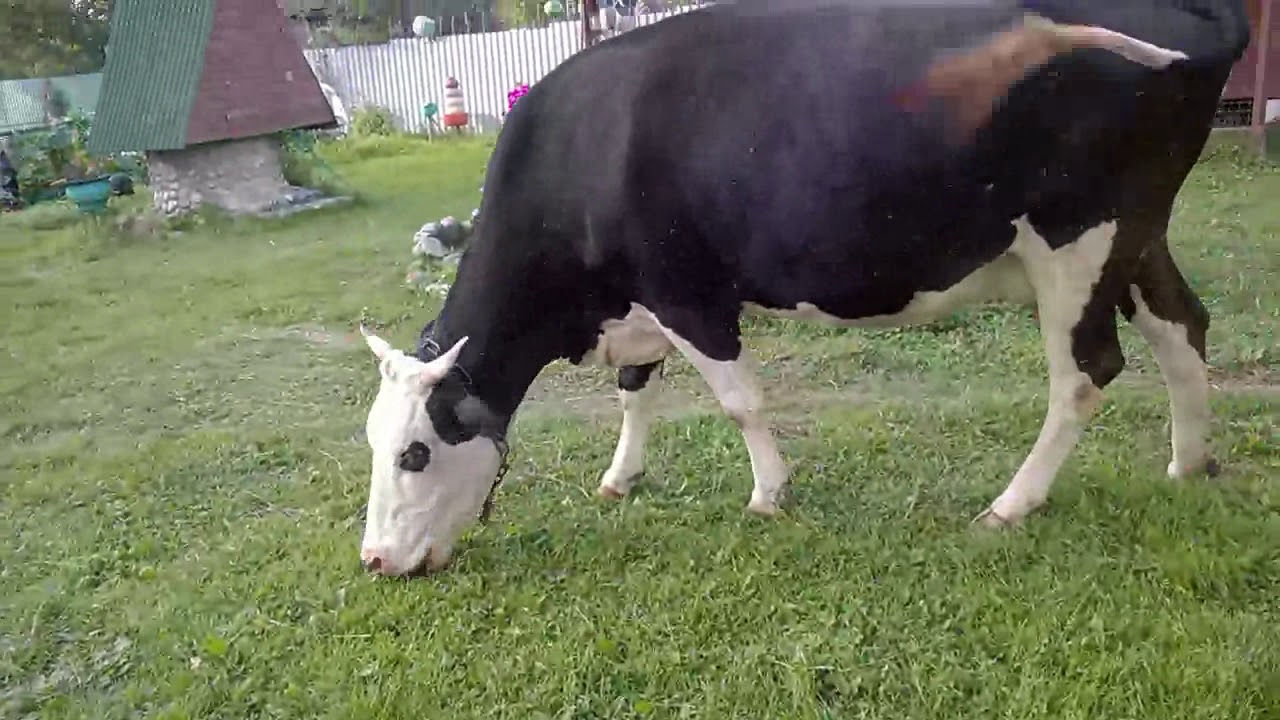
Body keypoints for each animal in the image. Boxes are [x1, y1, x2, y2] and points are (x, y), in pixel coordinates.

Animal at [356, 0, 1252, 577]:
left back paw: (1010, 505)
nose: (374, 560)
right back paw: (1186, 464)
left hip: (1076, 243)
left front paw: (769, 494)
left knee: (1087, 372)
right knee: (1183, 329)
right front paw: (621, 477)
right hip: (1134, 238)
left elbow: (739, 401)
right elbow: (635, 389)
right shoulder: (639, 300)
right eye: (371, 443)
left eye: (415, 453)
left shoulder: (689, 293)